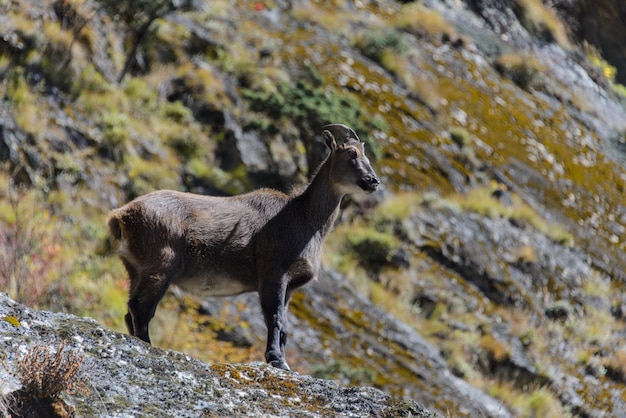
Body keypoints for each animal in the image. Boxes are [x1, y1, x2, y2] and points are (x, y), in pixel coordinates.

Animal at [106, 123, 378, 370]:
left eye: (364, 154)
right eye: (352, 154)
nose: (373, 181)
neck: (304, 218)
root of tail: (121, 215)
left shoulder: (290, 286)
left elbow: (284, 325)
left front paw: (281, 360)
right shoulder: (273, 272)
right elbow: (275, 318)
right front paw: (277, 361)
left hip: (135, 268)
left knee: (130, 310)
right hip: (161, 266)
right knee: (141, 308)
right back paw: (148, 345)